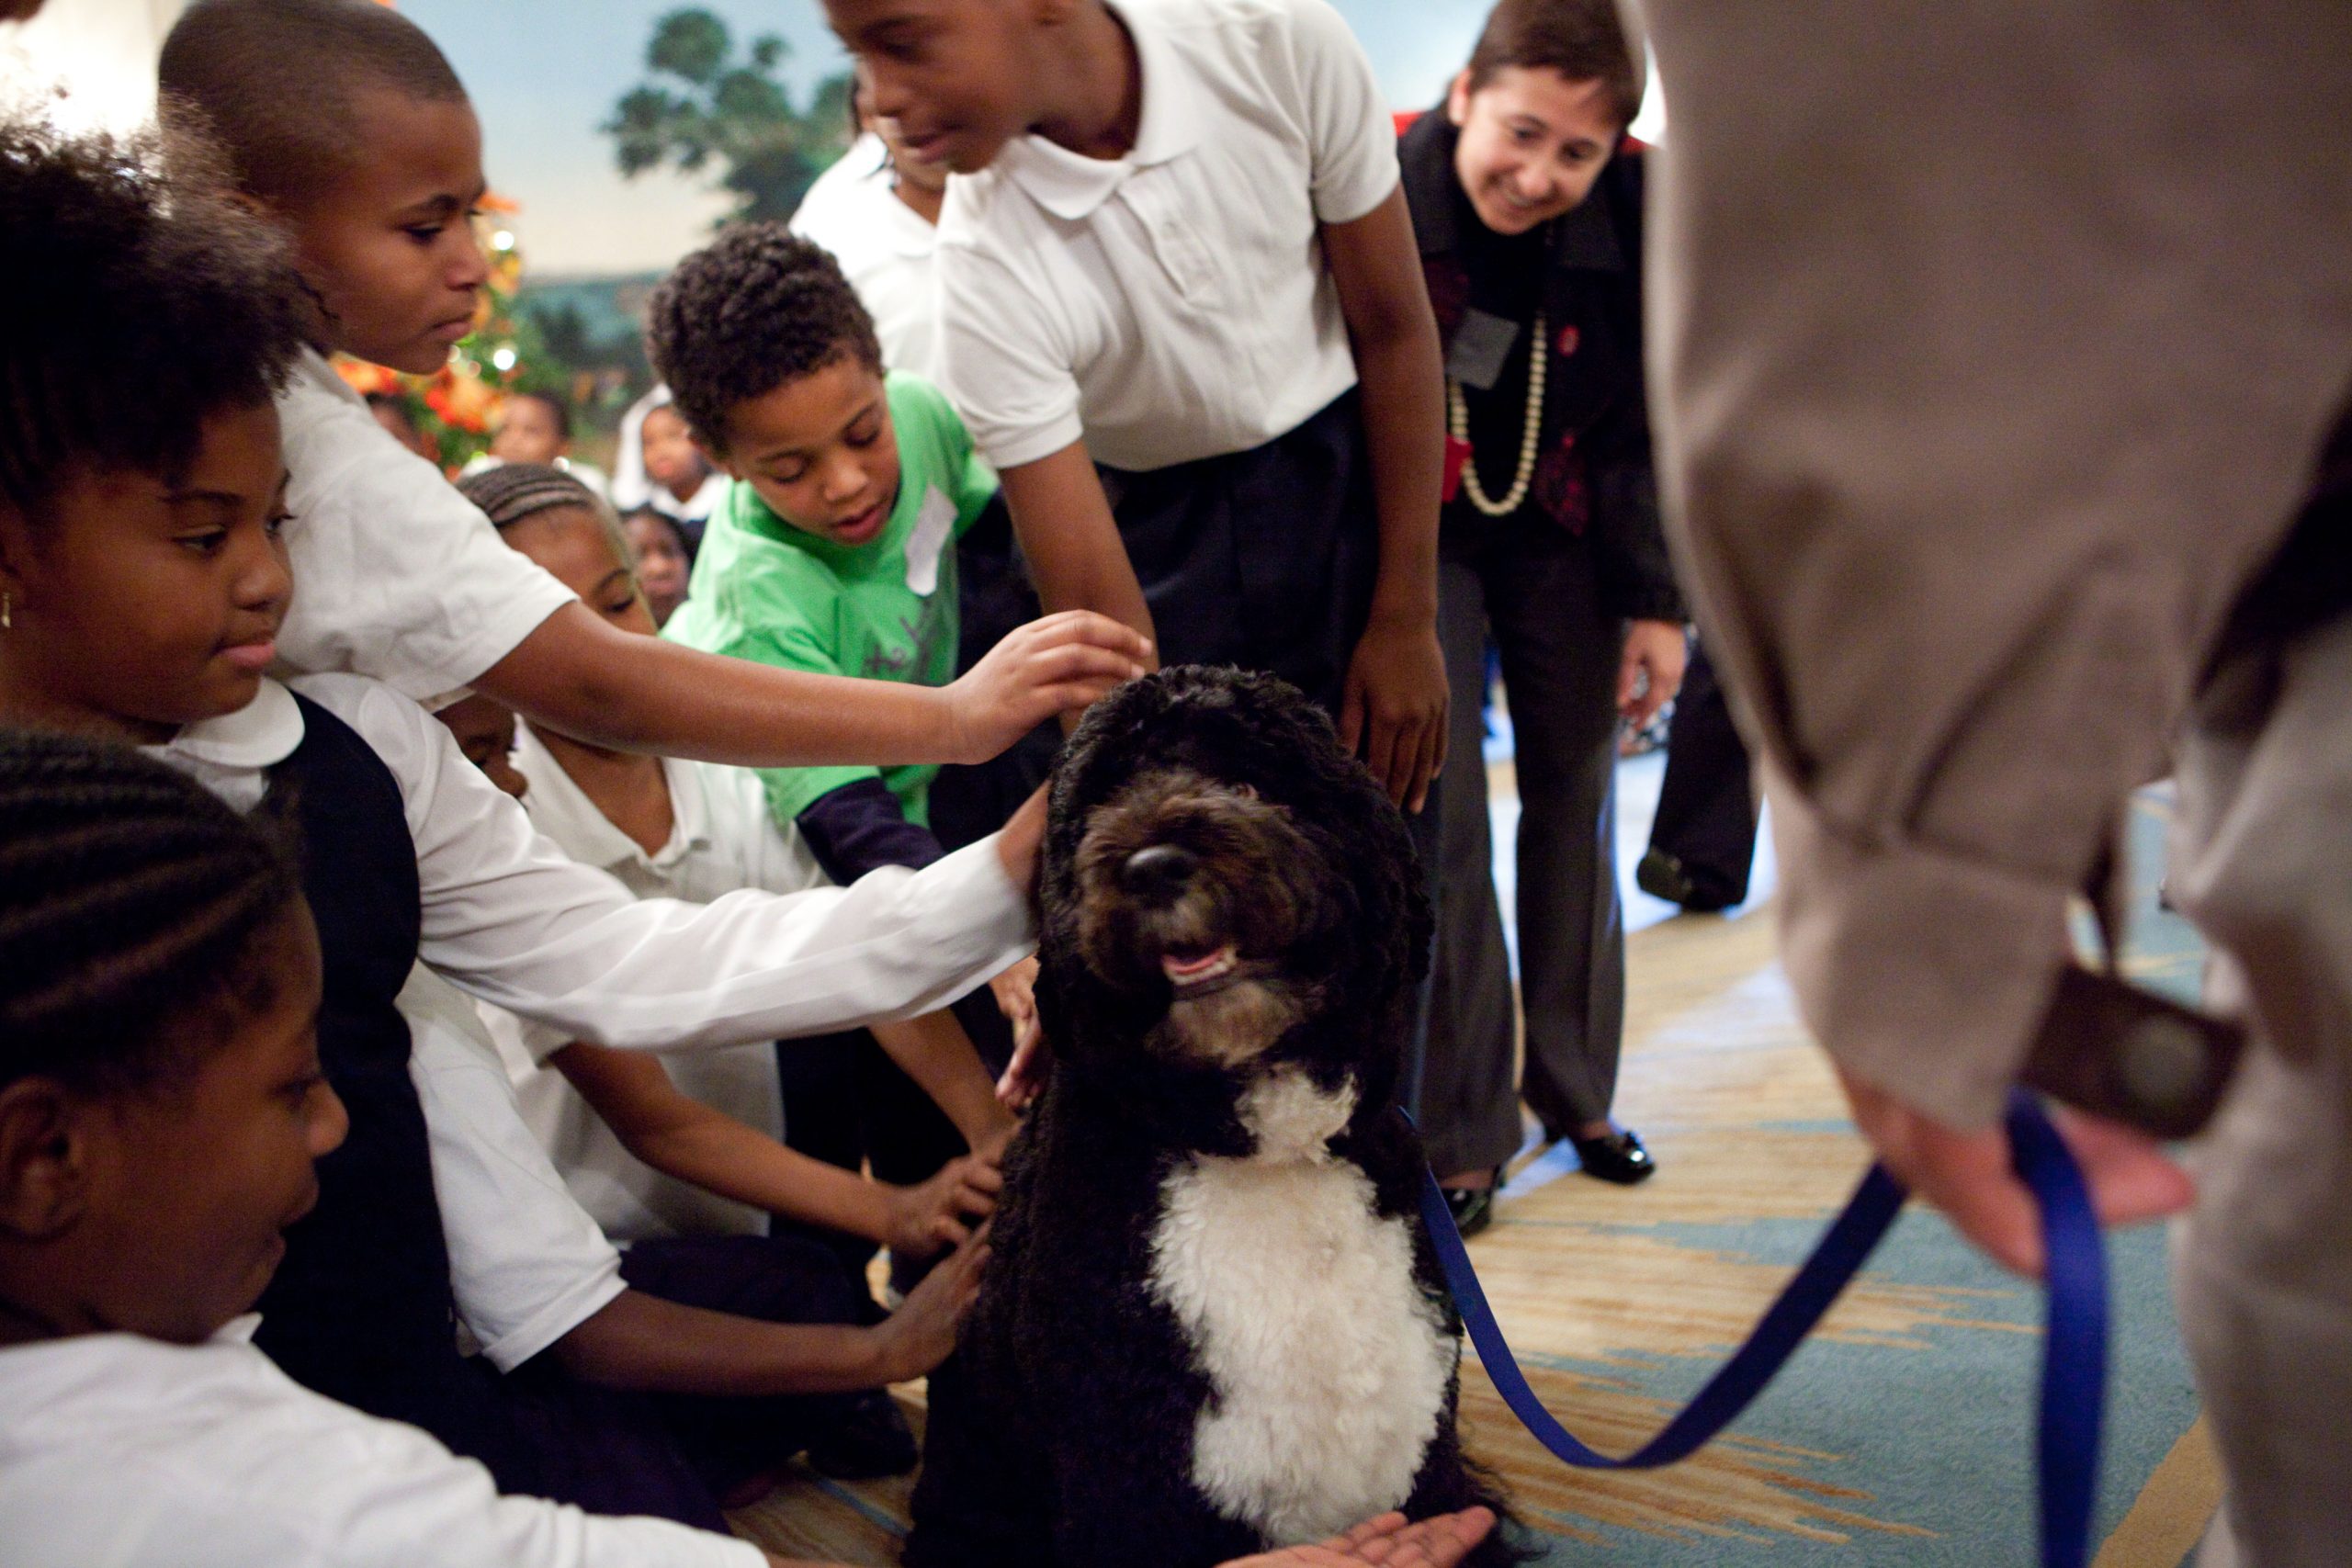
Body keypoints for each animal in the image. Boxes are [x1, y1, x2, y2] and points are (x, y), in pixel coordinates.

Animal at [898, 667, 1505, 1568]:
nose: (1152, 865)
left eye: (1248, 781)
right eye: (1097, 806)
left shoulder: (1428, 1458)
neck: (1269, 1154)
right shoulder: (1127, 1492)